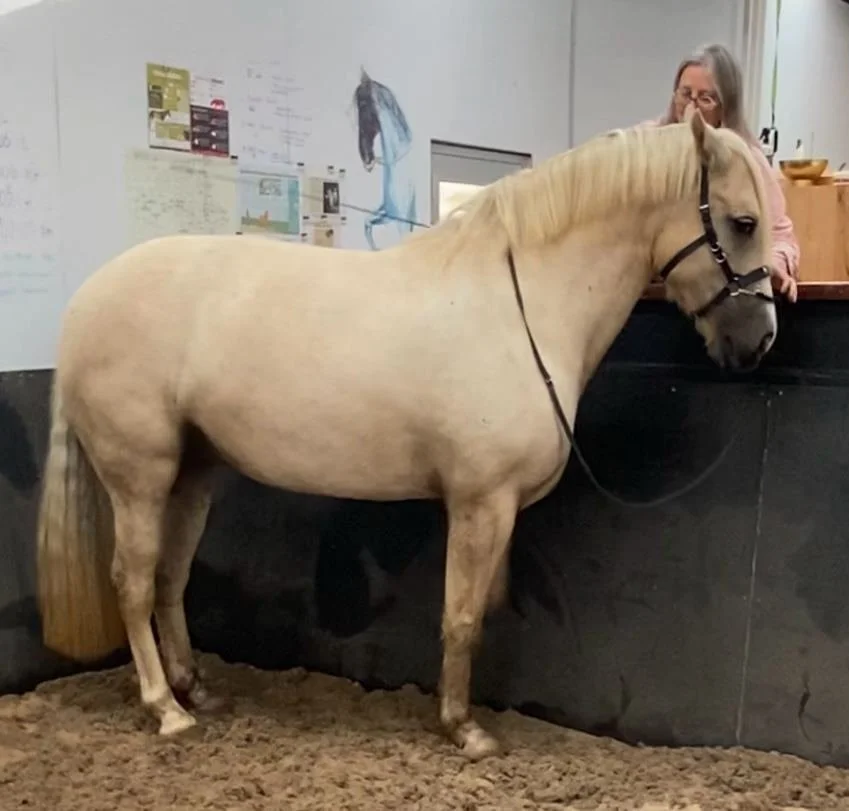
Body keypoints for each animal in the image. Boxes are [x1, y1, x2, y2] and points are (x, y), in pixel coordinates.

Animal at [36, 111, 776, 760]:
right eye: (742, 222)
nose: (759, 340)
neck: (523, 308)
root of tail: (84, 301)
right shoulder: (480, 501)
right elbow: (462, 616)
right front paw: (463, 729)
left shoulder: (493, 508)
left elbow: (484, 608)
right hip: (140, 476)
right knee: (132, 582)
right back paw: (166, 708)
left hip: (192, 473)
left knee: (168, 577)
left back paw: (196, 690)